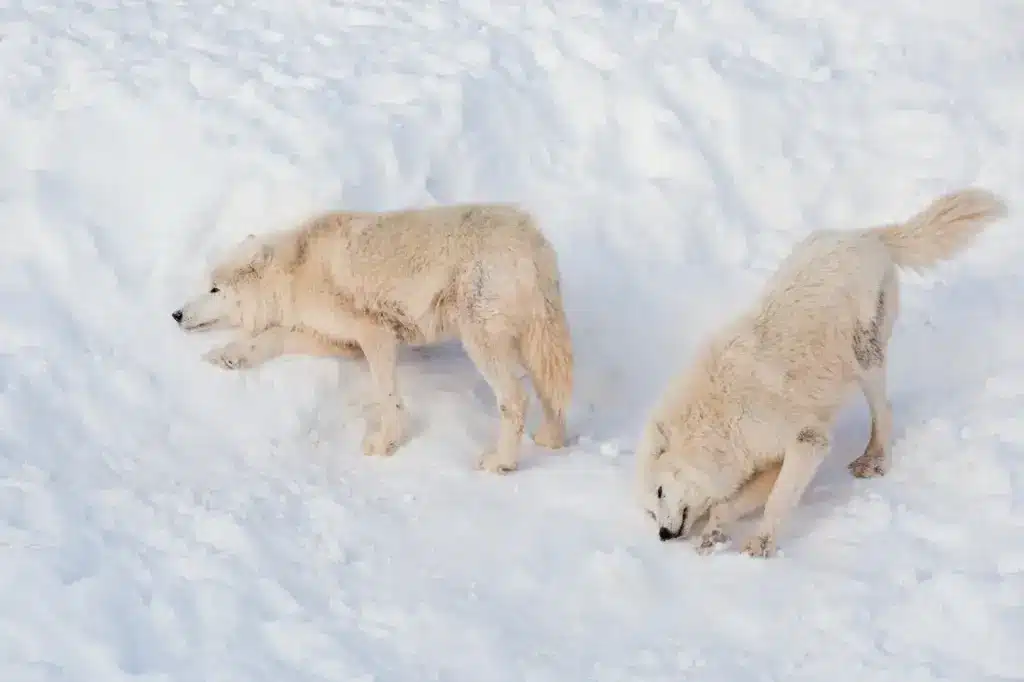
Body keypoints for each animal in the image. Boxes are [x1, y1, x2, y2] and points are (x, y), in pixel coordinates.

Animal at [176, 200, 577, 473]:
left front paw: (386, 443)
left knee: (516, 400)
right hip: (531, 342)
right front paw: (229, 355)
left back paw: (501, 463)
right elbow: (274, 337)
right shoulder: (341, 341)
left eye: (214, 289)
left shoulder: (375, 335)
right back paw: (551, 440)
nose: (175, 314)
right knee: (552, 393)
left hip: (482, 343)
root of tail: (532, 238)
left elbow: (388, 397)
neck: (294, 269)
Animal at [634, 187, 1003, 557]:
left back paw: (875, 461)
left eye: (660, 493)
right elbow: (736, 502)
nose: (663, 536)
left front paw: (761, 545)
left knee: (883, 410)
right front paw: (714, 533)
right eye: (651, 512)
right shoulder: (764, 459)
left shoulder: (807, 439)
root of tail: (866, 236)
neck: (718, 420)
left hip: (865, 360)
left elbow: (778, 500)